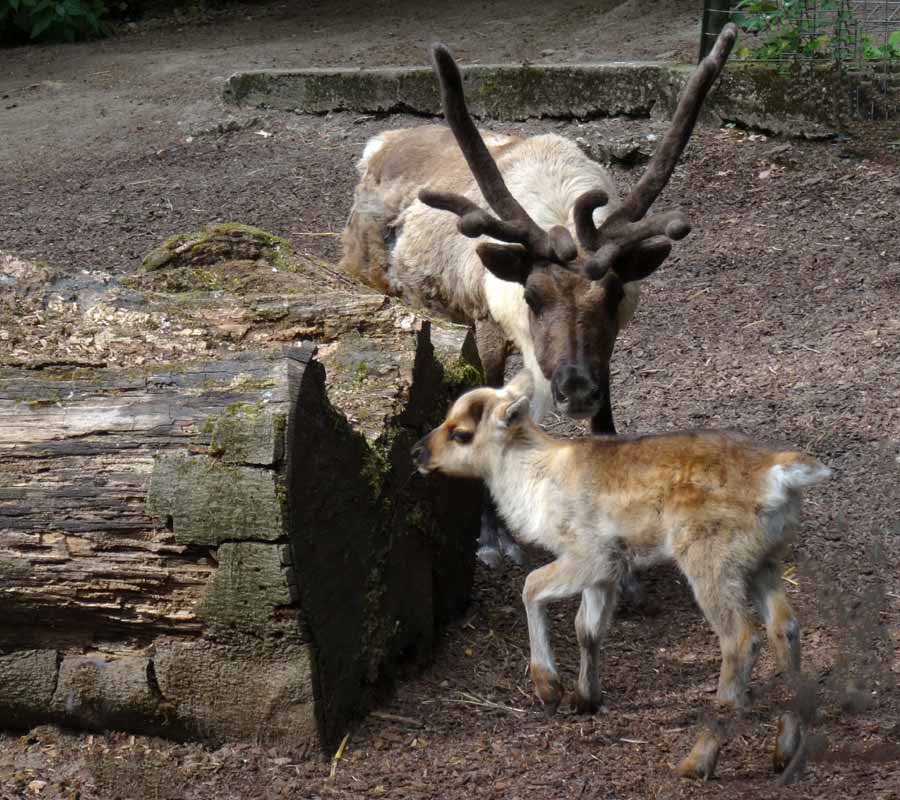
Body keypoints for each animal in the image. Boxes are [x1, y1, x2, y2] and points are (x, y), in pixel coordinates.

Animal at [414, 372, 828, 780]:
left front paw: (550, 690)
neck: (537, 483)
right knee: (785, 627)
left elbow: (531, 585)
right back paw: (784, 752)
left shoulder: (593, 555)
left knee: (741, 640)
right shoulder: (607, 572)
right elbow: (587, 627)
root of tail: (779, 475)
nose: (417, 452)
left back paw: (696, 762)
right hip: (763, 561)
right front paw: (585, 699)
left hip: (710, 559)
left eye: (461, 432)